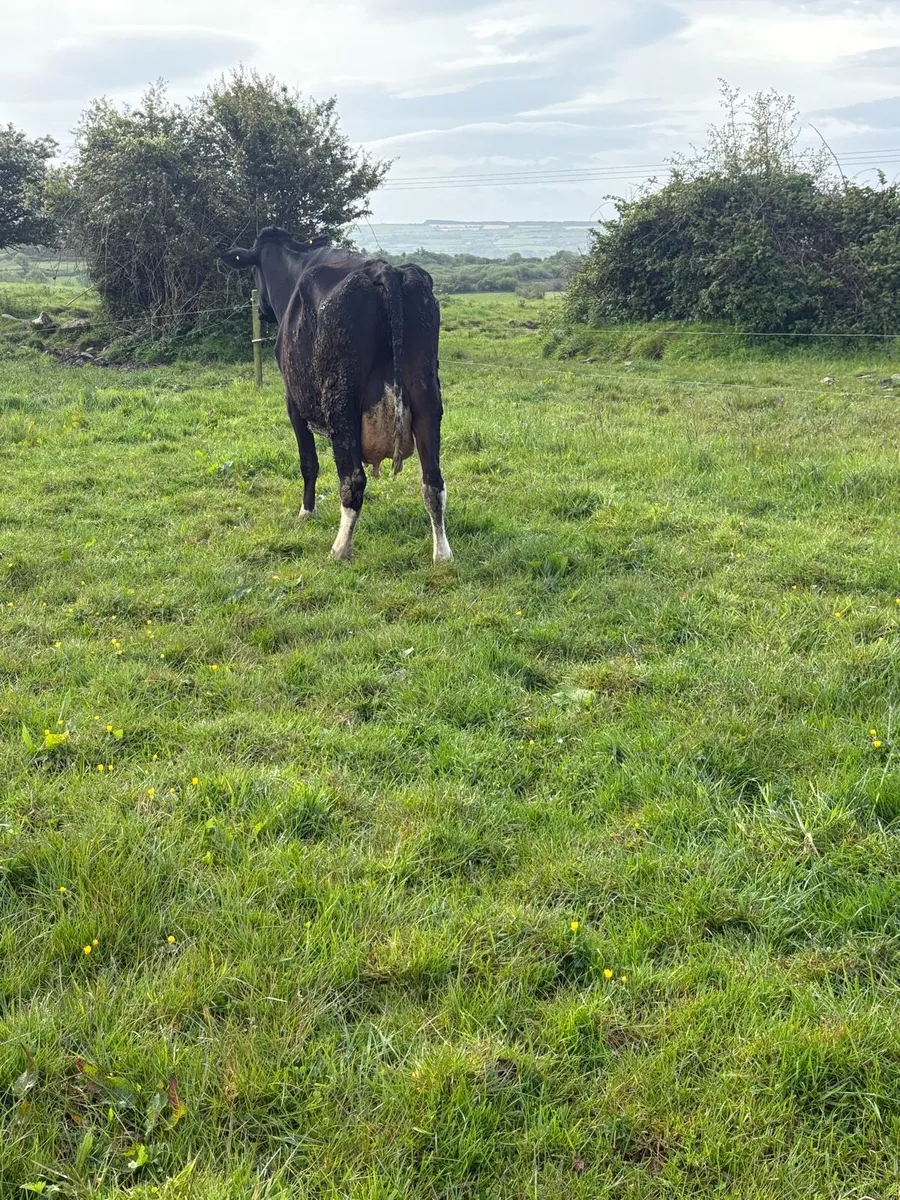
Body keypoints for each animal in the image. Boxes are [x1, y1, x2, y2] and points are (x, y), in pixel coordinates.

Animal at [218, 227, 452, 563]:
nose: (262, 311)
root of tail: (382, 269)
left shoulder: (292, 400)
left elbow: (308, 462)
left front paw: (306, 512)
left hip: (341, 401)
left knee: (353, 480)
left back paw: (340, 548)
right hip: (426, 395)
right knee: (433, 480)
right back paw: (442, 553)